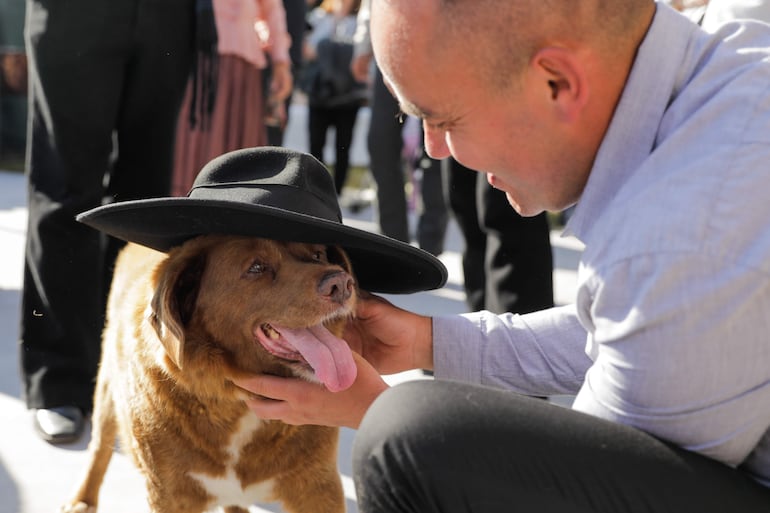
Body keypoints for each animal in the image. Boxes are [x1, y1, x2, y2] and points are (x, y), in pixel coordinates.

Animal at [62, 235, 356, 512]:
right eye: (256, 267)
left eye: (318, 255)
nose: (342, 283)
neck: (237, 400)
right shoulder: (168, 494)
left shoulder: (319, 487)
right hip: (107, 384)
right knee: (100, 444)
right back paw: (82, 499)